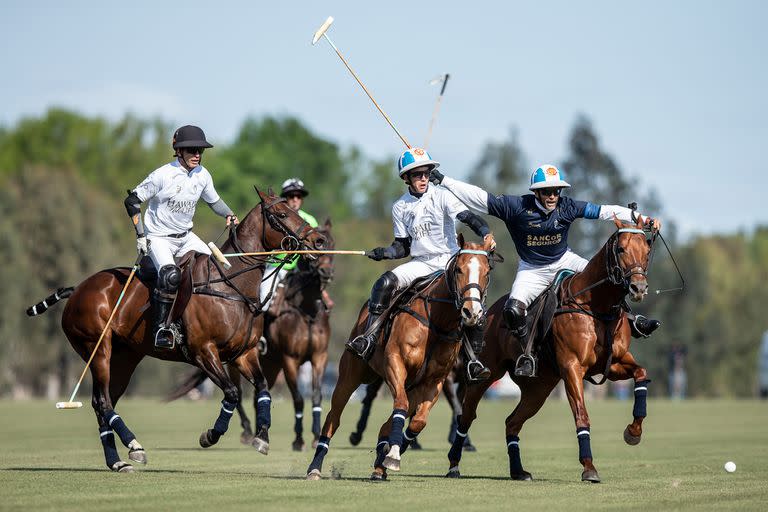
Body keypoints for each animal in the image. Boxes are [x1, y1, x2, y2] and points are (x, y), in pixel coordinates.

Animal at [27, 188, 326, 472]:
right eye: (283, 214)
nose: (318, 241)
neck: (230, 285)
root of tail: (78, 289)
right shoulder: (203, 352)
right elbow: (232, 393)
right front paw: (210, 435)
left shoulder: (245, 353)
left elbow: (262, 389)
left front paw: (262, 437)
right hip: (97, 349)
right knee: (103, 402)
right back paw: (134, 446)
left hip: (125, 357)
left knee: (102, 401)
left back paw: (118, 461)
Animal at [306, 234, 498, 482]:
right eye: (458, 269)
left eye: (487, 271)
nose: (472, 313)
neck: (438, 322)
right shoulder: (395, 363)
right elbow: (401, 407)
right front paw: (392, 455)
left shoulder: (434, 382)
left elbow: (417, 421)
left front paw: (391, 454)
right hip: (350, 375)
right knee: (333, 418)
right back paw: (315, 467)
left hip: (411, 387)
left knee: (388, 423)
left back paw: (381, 462)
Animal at [444, 217, 656, 484]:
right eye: (621, 249)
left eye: (647, 251)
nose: (639, 287)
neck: (596, 307)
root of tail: (490, 311)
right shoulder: (572, 367)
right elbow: (582, 415)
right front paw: (589, 468)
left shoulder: (613, 363)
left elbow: (641, 374)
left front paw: (633, 432)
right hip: (487, 373)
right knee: (466, 415)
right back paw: (453, 464)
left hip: (539, 387)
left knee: (512, 422)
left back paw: (518, 471)